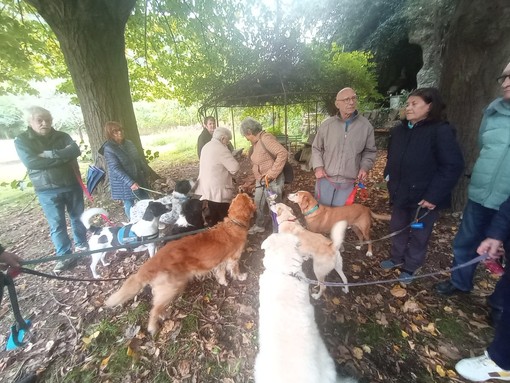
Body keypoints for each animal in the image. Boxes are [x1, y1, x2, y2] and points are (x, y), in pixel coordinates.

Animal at [104, 194, 255, 338]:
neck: (234, 224)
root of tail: (154, 260)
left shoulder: (221, 261)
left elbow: (221, 273)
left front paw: (223, 282)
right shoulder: (234, 259)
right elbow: (235, 270)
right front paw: (241, 277)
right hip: (171, 288)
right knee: (153, 310)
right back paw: (153, 327)